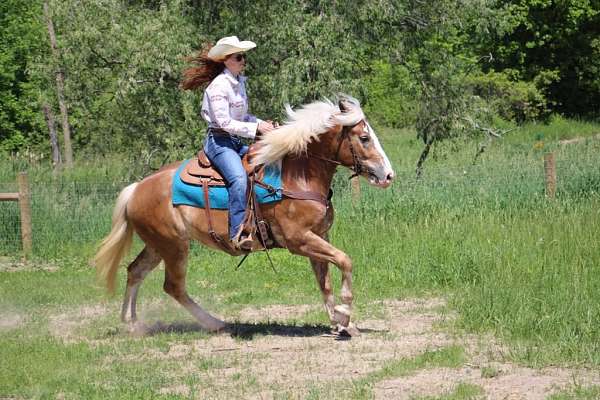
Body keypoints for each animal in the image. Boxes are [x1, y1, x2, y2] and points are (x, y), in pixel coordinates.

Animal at [94, 95, 394, 336]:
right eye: (364, 138)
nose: (388, 175)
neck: (297, 177)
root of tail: (136, 189)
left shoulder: (319, 236)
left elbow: (325, 282)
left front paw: (341, 323)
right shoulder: (299, 240)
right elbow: (344, 261)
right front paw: (345, 313)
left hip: (158, 245)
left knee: (135, 272)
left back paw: (133, 324)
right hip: (173, 247)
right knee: (173, 286)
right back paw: (214, 323)